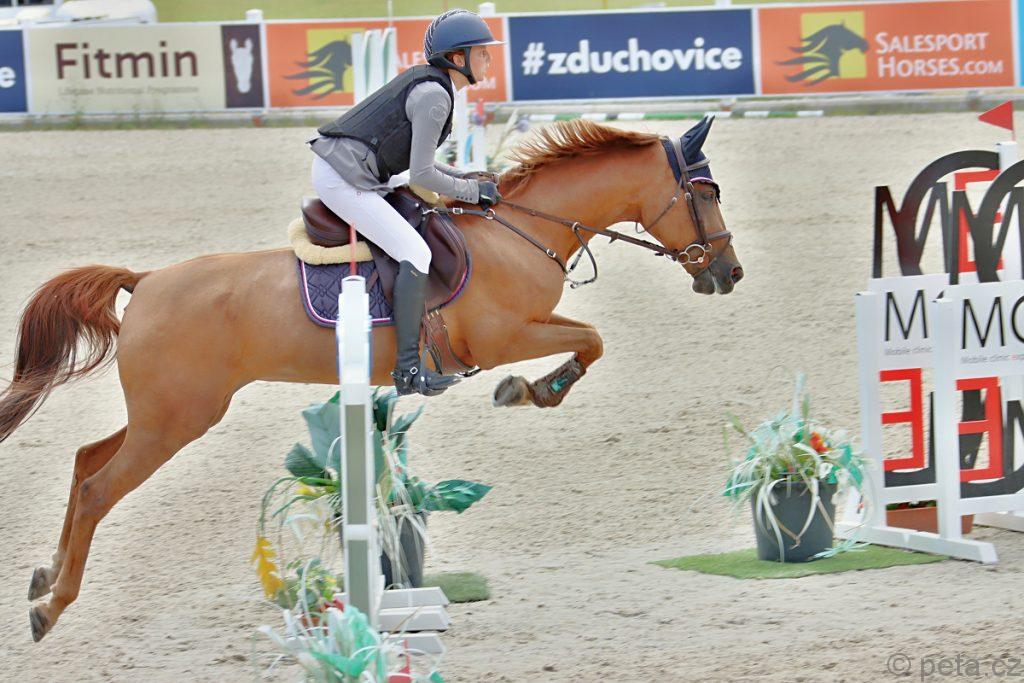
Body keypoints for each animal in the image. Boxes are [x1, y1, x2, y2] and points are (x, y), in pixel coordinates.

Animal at [0, 118, 743, 642]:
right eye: (706, 192)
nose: (729, 273)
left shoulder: (529, 323)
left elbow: (591, 338)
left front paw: (533, 390)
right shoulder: (505, 336)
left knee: (85, 459)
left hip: (166, 413)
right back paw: (52, 606)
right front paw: (534, 390)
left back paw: (43, 576)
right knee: (97, 487)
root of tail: (147, 280)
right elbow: (590, 338)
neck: (518, 231)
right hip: (177, 419)